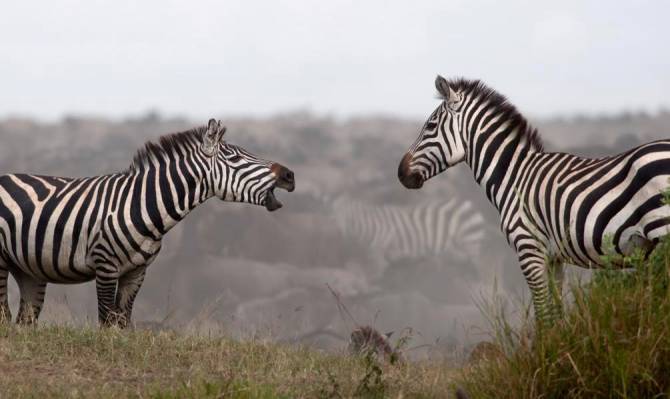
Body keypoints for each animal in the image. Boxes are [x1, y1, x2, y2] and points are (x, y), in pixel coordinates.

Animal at [0, 119, 294, 328]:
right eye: (235, 158)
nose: (289, 175)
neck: (141, 205)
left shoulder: (137, 272)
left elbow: (123, 322)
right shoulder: (105, 265)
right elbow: (106, 321)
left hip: (29, 269)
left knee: (23, 321)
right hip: (2, 261)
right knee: (4, 316)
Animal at [400, 76, 670, 324]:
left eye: (430, 126)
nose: (400, 173)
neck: (514, 175)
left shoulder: (528, 248)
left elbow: (543, 315)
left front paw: (545, 346)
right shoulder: (554, 258)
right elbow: (556, 313)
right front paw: (560, 343)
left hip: (661, 228)